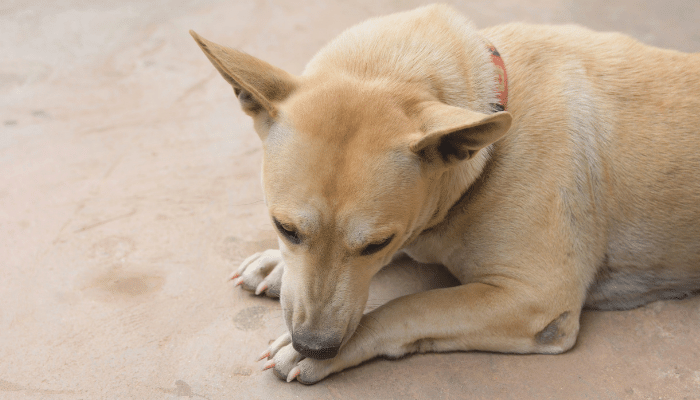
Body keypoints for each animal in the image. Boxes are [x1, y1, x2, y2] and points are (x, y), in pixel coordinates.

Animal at [190, 3, 700, 384]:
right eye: (284, 228)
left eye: (376, 243)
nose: (314, 345)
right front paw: (276, 264)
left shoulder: (535, 298)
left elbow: (410, 306)